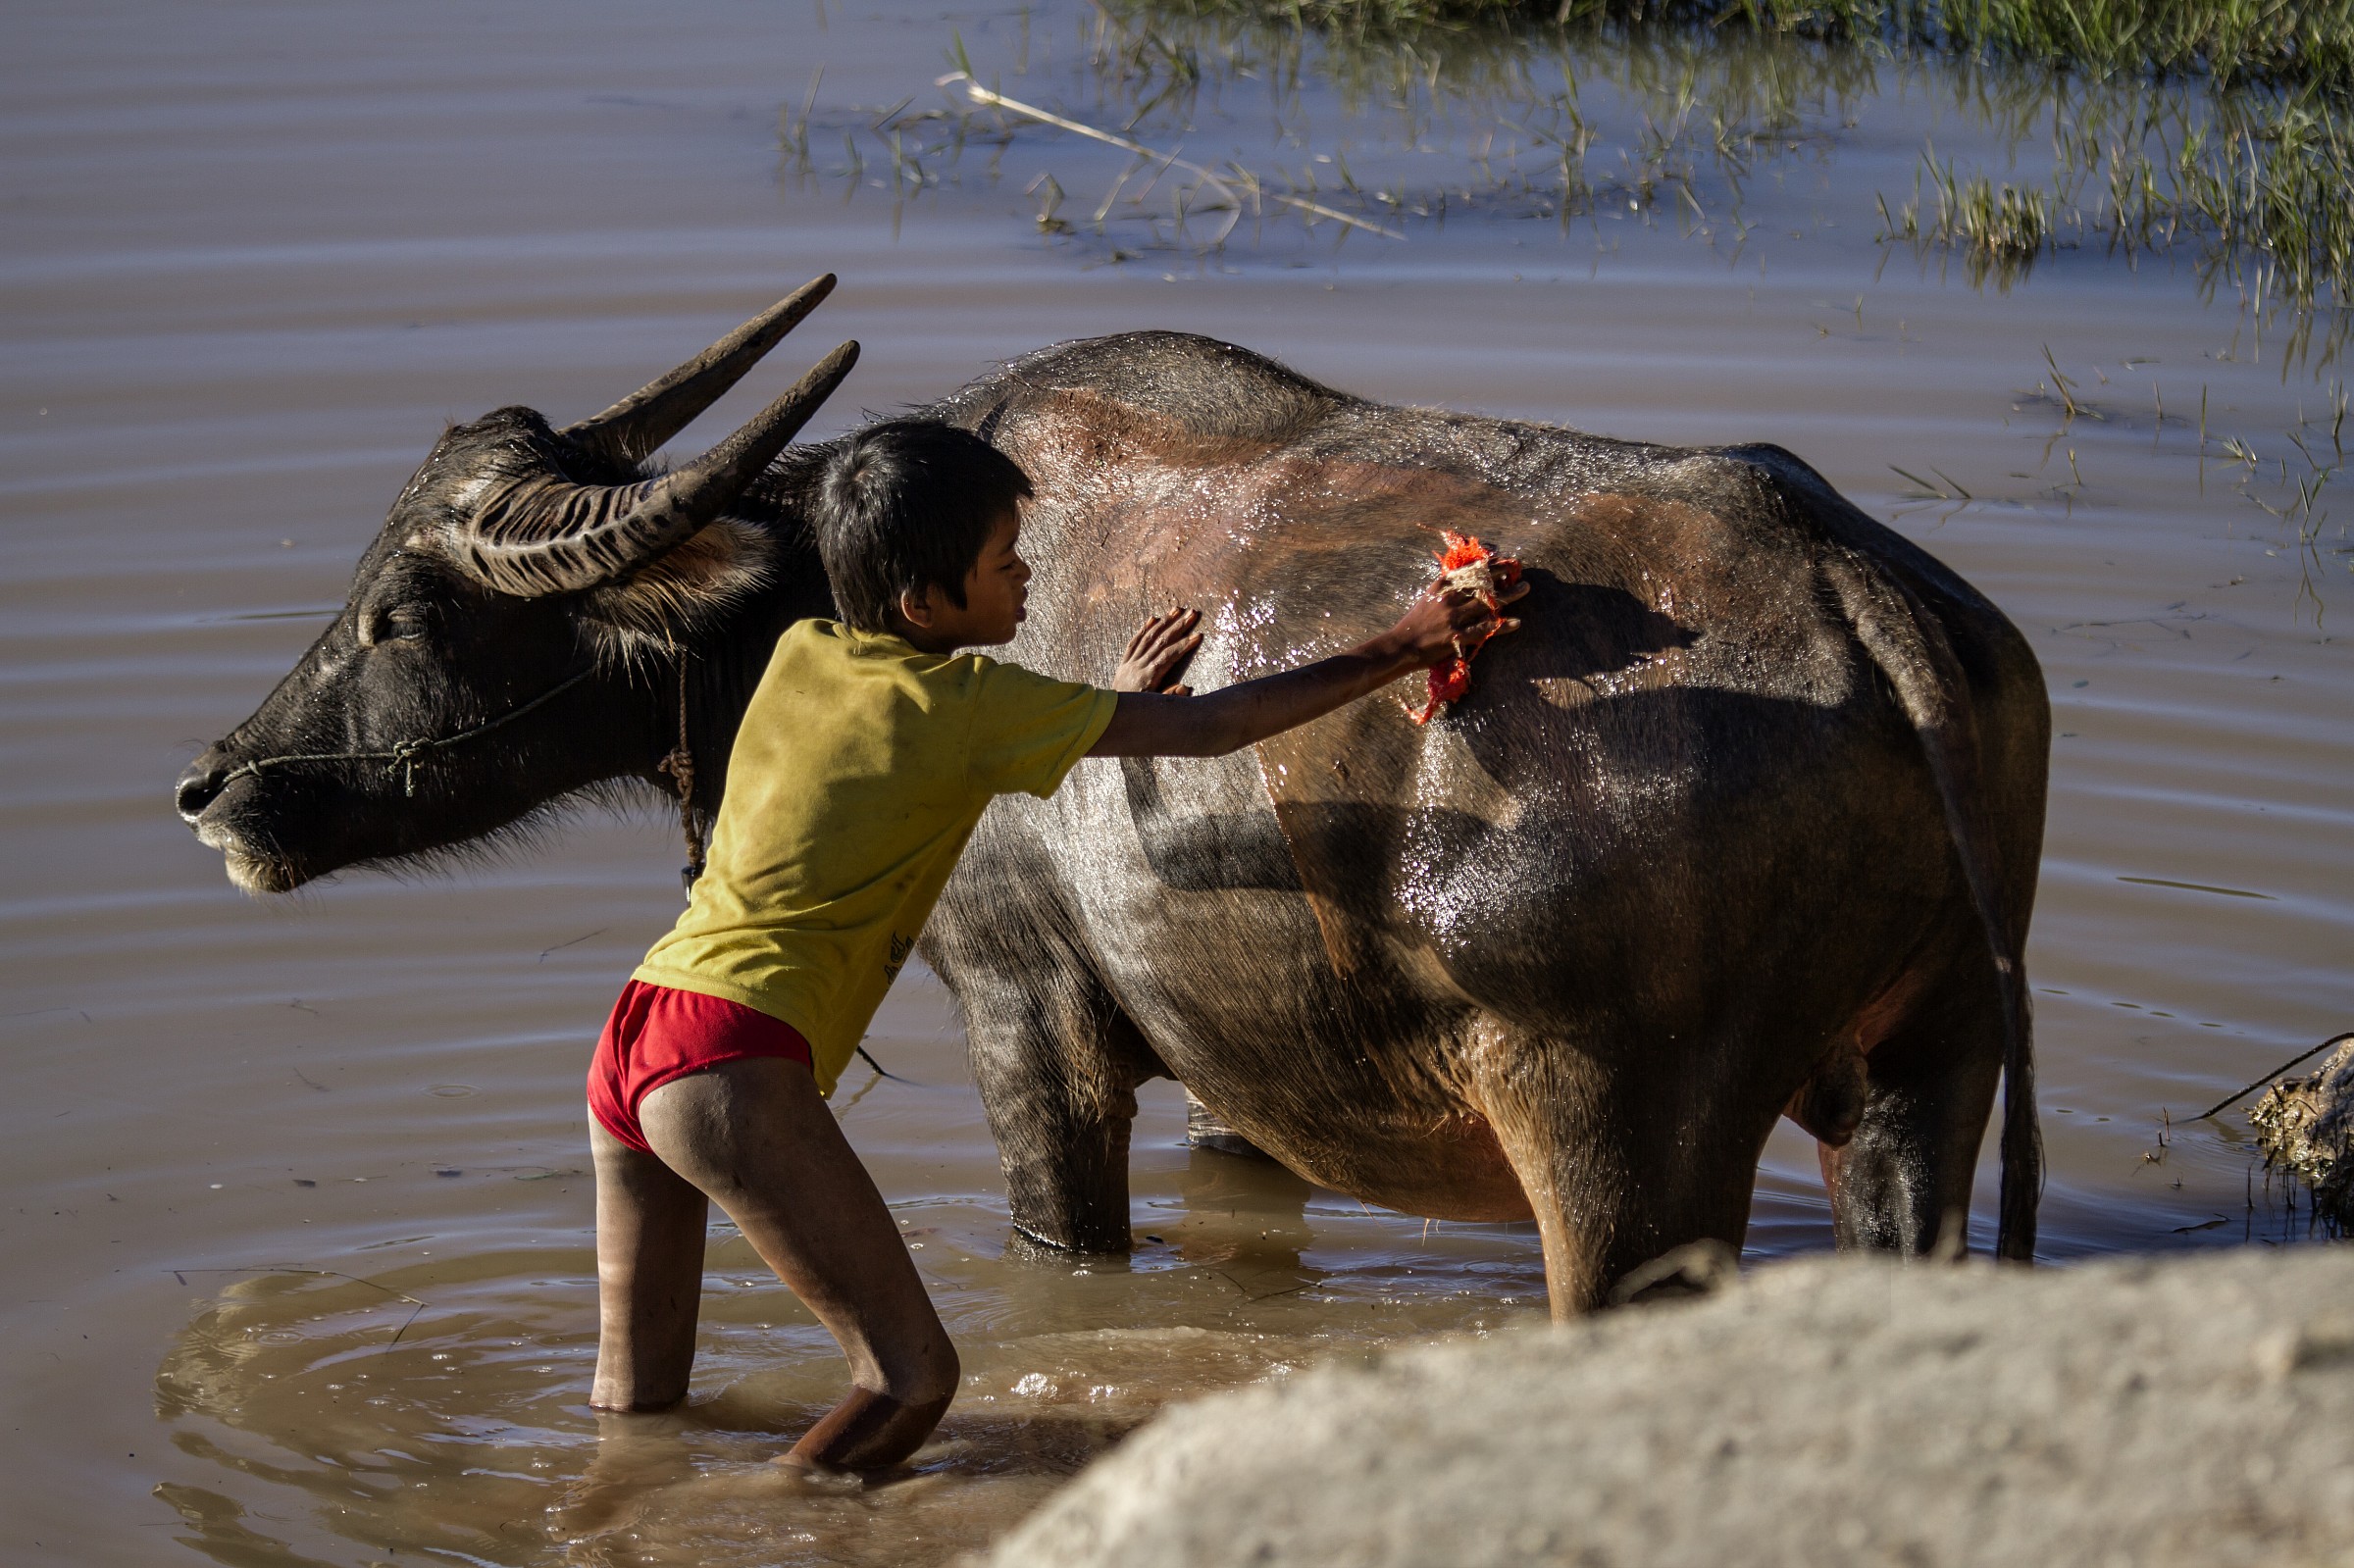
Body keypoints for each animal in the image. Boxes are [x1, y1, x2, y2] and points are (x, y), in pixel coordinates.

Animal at [178, 277, 2047, 1312]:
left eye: (405, 611)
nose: (219, 785)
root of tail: (1851, 585)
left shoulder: (1032, 1016)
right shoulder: (1255, 1064)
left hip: (1618, 1143)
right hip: (1929, 1074)